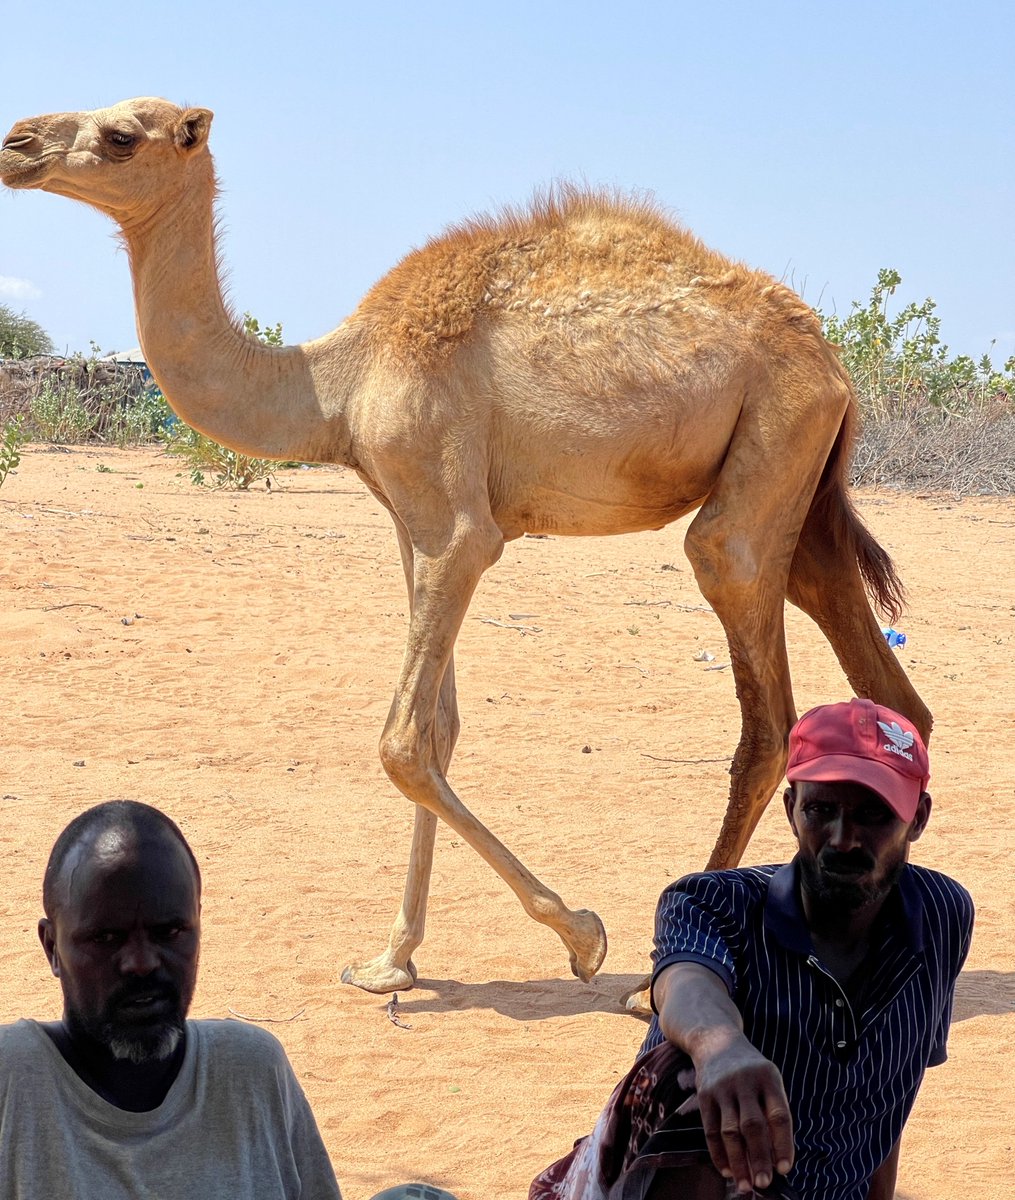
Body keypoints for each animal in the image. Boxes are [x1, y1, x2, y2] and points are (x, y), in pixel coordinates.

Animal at [1, 98, 931, 1001]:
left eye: (121, 135)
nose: (17, 143)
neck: (336, 385)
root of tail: (833, 365)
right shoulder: (409, 522)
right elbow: (439, 730)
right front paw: (390, 961)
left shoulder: (458, 531)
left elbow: (404, 741)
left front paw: (582, 936)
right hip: (802, 490)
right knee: (886, 690)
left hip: (766, 452)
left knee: (759, 691)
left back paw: (655, 983)